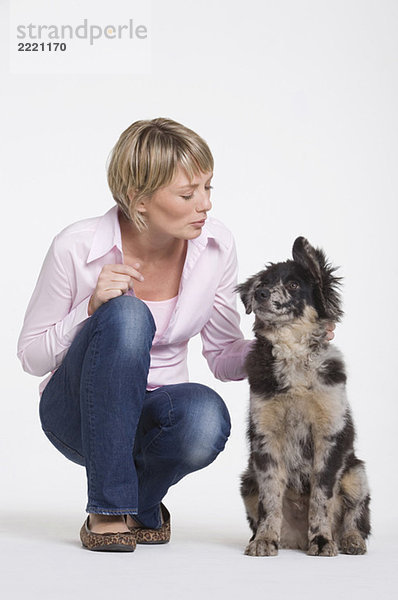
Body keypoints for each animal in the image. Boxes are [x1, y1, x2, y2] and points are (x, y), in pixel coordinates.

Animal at [236, 237, 370, 556]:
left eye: (294, 285)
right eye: (263, 282)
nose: (259, 293)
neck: (293, 354)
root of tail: (295, 539)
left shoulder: (329, 435)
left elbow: (322, 497)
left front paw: (321, 540)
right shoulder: (265, 436)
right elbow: (270, 497)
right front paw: (264, 540)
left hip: (357, 472)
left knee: (356, 517)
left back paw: (350, 540)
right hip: (247, 480)